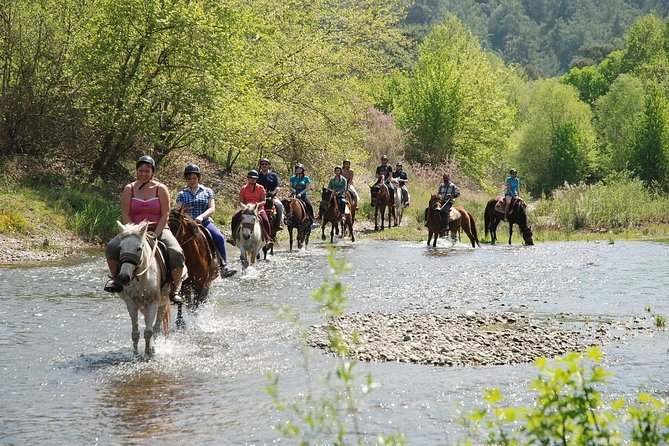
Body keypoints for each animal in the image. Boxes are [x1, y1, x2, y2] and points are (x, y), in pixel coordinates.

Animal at [116, 221, 171, 358]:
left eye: (139, 248)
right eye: (120, 248)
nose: (124, 277)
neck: (141, 276)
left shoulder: (153, 302)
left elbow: (149, 331)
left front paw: (147, 353)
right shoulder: (131, 303)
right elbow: (135, 332)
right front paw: (135, 354)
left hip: (163, 303)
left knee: (156, 328)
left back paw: (154, 348)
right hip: (143, 306)